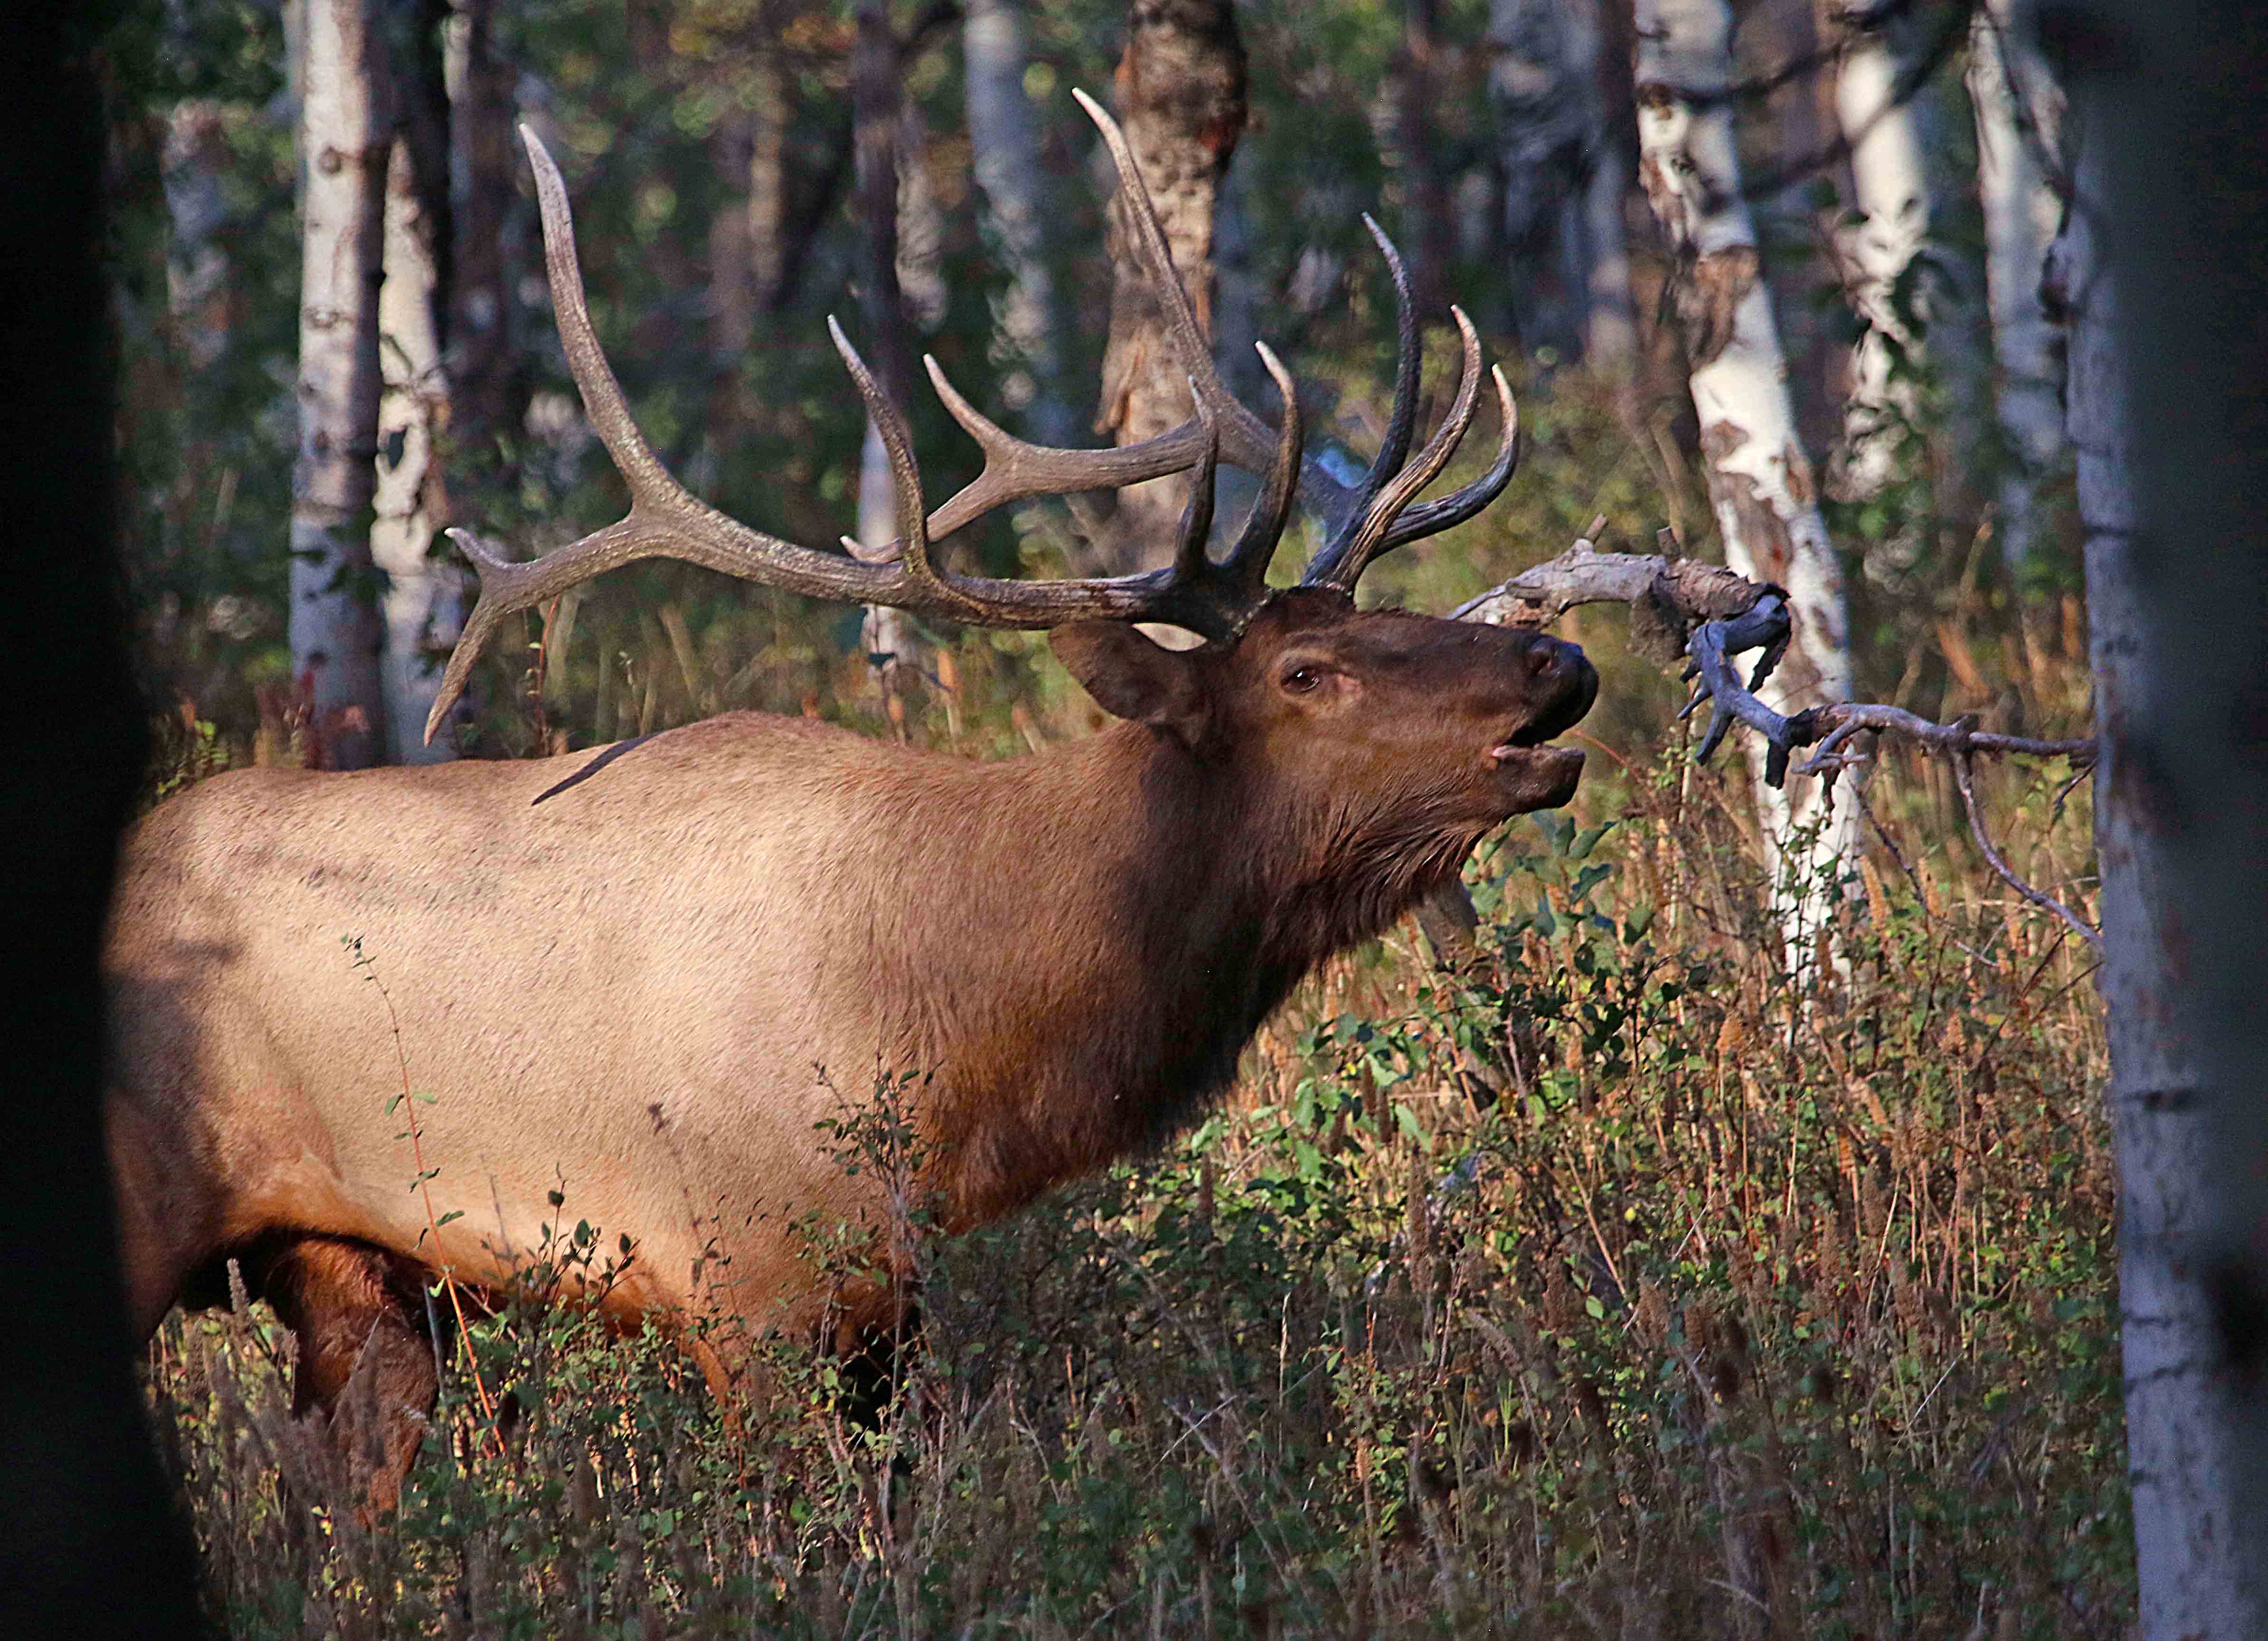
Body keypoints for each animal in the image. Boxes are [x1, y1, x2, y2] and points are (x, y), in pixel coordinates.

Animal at [102, 92, 1596, 1506]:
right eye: (1304, 670)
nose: (1557, 663)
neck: (954, 1031)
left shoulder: (891, 1291)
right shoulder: (743, 1277)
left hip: (345, 1260)